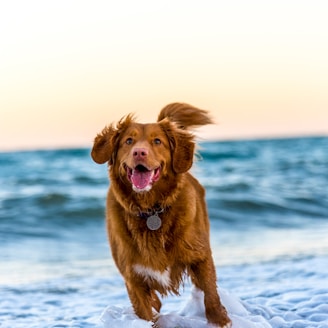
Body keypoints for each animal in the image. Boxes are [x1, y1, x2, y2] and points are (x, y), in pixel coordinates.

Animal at [91, 102, 232, 328]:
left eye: (157, 141)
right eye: (128, 141)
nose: (139, 152)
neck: (151, 210)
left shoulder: (200, 255)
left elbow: (210, 293)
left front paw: (220, 319)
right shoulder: (133, 278)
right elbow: (145, 311)